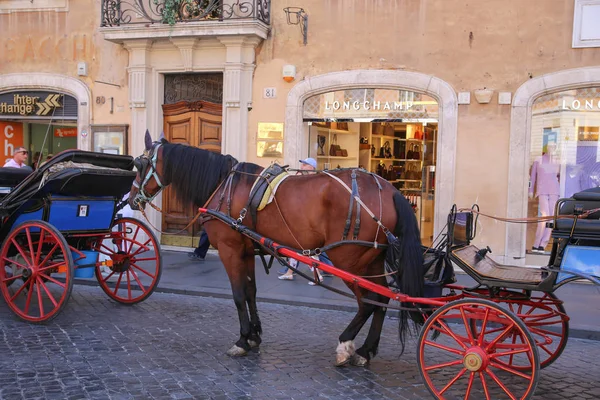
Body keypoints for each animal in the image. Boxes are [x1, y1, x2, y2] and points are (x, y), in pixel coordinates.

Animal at [129, 131, 424, 366]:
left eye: (139, 164)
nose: (132, 200)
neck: (223, 186)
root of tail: (389, 189)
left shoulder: (229, 248)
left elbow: (238, 294)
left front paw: (242, 340)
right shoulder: (247, 250)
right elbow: (251, 292)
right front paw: (254, 336)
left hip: (348, 259)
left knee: (368, 301)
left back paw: (346, 344)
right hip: (371, 258)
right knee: (381, 299)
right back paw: (366, 350)